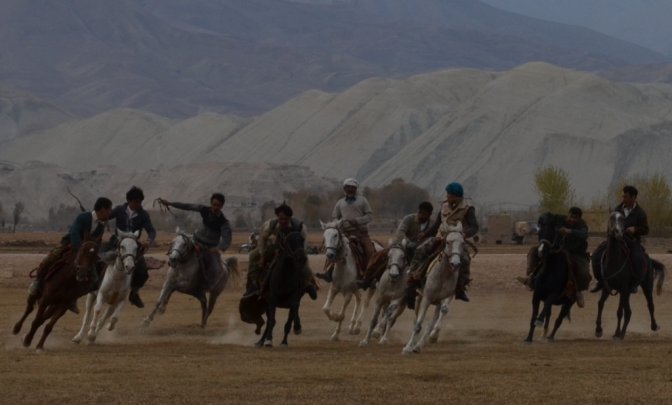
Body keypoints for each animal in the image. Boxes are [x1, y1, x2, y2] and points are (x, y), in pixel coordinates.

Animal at [403, 223, 468, 354]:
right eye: (448, 242)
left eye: (462, 242)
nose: (456, 264)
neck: (443, 274)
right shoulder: (427, 298)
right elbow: (418, 324)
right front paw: (408, 347)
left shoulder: (447, 296)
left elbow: (443, 312)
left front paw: (433, 337)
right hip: (419, 299)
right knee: (416, 319)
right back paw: (412, 344)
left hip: (437, 302)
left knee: (433, 319)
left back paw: (419, 345)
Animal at [524, 212, 576, 343]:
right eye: (540, 231)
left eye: (553, 231)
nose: (541, 251)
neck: (549, 270)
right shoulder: (536, 295)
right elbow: (533, 317)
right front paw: (528, 338)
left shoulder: (553, 294)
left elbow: (545, 307)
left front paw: (539, 321)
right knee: (550, 314)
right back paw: (544, 335)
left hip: (569, 302)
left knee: (559, 319)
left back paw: (550, 337)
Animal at [594, 211, 665, 340]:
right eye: (611, 218)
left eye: (622, 219)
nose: (618, 232)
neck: (614, 263)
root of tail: (649, 260)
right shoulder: (607, 287)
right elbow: (601, 304)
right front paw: (598, 330)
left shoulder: (623, 289)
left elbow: (620, 312)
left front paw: (618, 334)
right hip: (627, 293)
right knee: (627, 311)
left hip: (646, 285)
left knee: (649, 305)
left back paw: (653, 326)